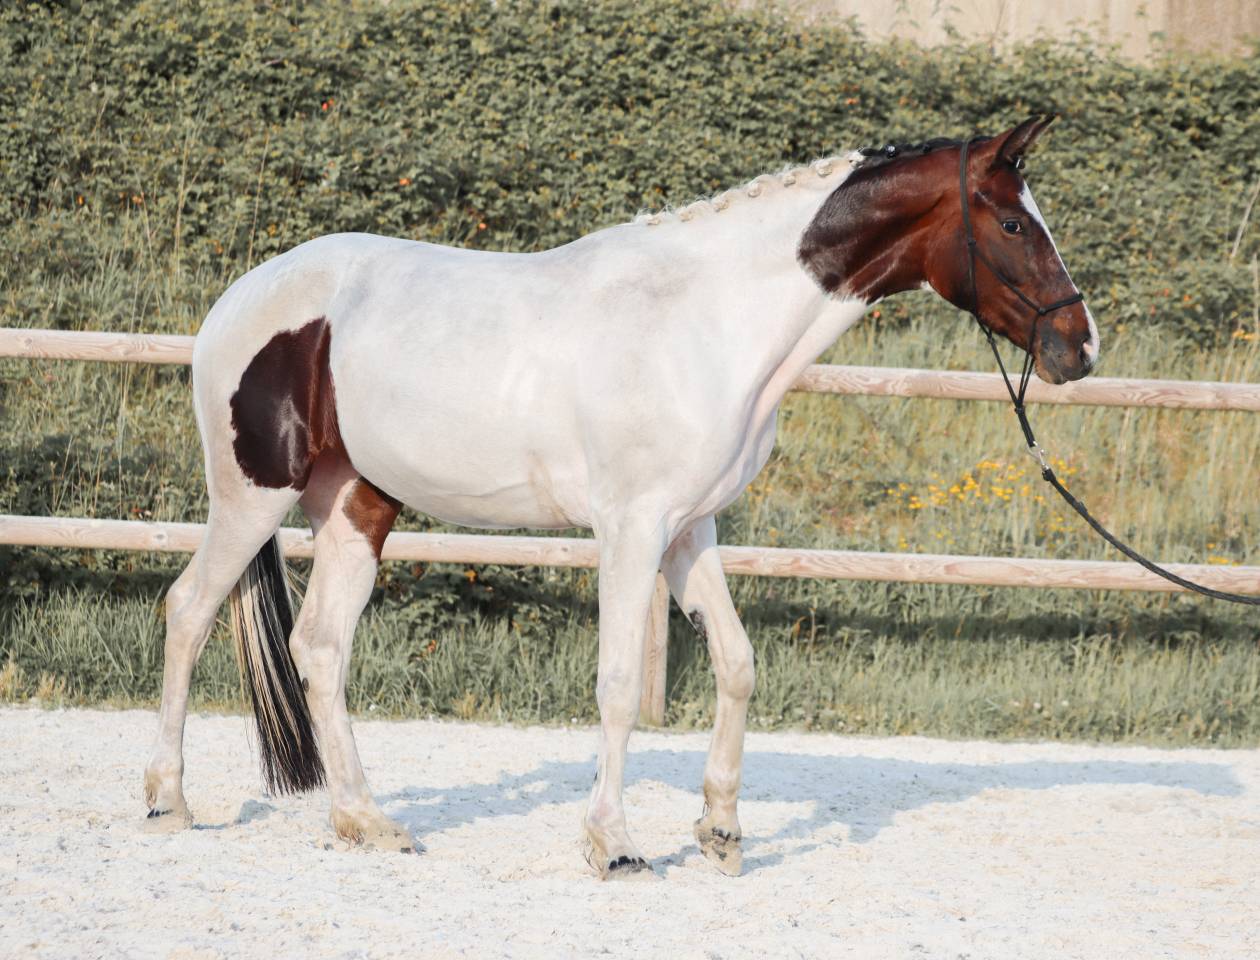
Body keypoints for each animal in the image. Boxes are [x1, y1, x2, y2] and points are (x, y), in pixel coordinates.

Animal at [142, 115, 1099, 878]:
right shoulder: (632, 530)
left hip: (356, 505)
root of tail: (240, 299)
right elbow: (615, 683)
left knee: (320, 646)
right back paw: (168, 801)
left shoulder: (690, 530)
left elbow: (737, 664)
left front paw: (721, 833)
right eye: (1013, 221)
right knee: (189, 610)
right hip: (251, 497)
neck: (710, 321)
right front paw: (616, 844)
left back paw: (365, 822)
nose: (1078, 346)